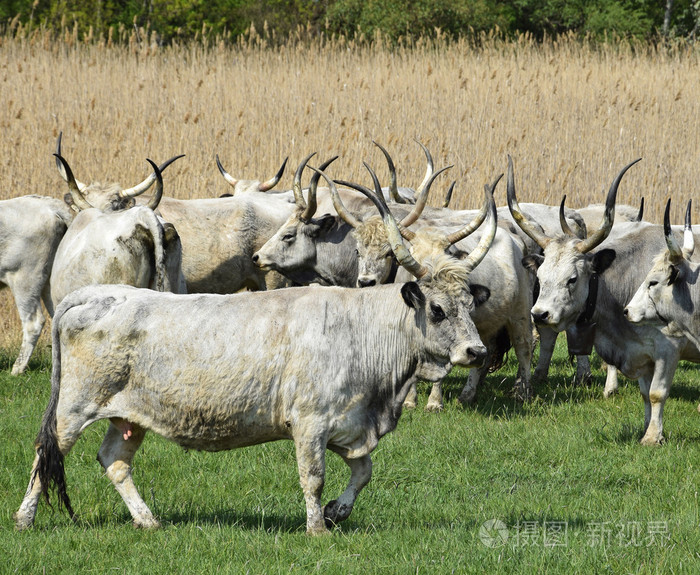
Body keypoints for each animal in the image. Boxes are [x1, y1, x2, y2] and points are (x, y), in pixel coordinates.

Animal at [12, 168, 492, 536]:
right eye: (437, 309)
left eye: (470, 304)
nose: (477, 351)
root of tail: (99, 294)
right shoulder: (310, 423)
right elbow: (313, 478)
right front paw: (316, 528)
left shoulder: (349, 424)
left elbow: (364, 472)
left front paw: (338, 512)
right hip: (74, 407)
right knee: (45, 452)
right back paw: (24, 519)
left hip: (128, 416)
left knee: (114, 460)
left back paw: (148, 521)